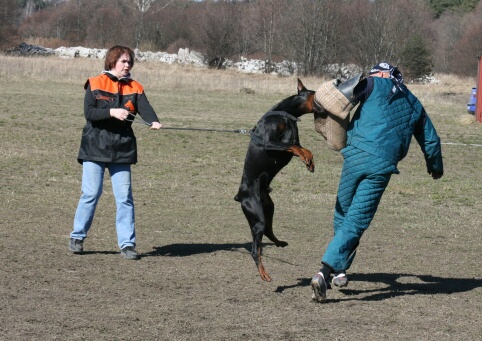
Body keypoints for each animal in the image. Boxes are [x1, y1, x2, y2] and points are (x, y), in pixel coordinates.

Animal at [234, 79, 324, 282]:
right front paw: (306, 158)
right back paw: (263, 273)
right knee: (255, 249)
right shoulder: (269, 142)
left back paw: (280, 242)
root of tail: (239, 195)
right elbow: (293, 146)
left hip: (268, 206)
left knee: (268, 230)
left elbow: (302, 147)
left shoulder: (295, 141)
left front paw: (310, 162)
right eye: (314, 92)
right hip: (256, 214)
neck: (286, 115)